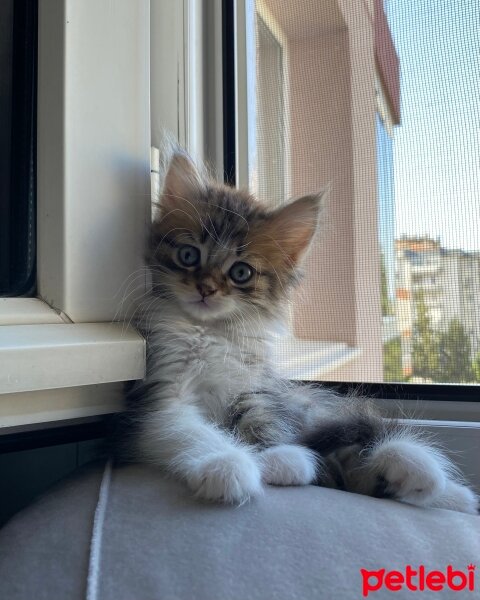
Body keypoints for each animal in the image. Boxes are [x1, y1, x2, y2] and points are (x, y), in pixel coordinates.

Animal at [118, 148, 478, 512]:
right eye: (189, 255)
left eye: (241, 272)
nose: (206, 289)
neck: (210, 332)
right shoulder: (160, 396)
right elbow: (193, 432)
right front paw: (228, 465)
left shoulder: (254, 388)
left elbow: (265, 422)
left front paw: (281, 456)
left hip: (303, 407)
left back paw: (431, 479)